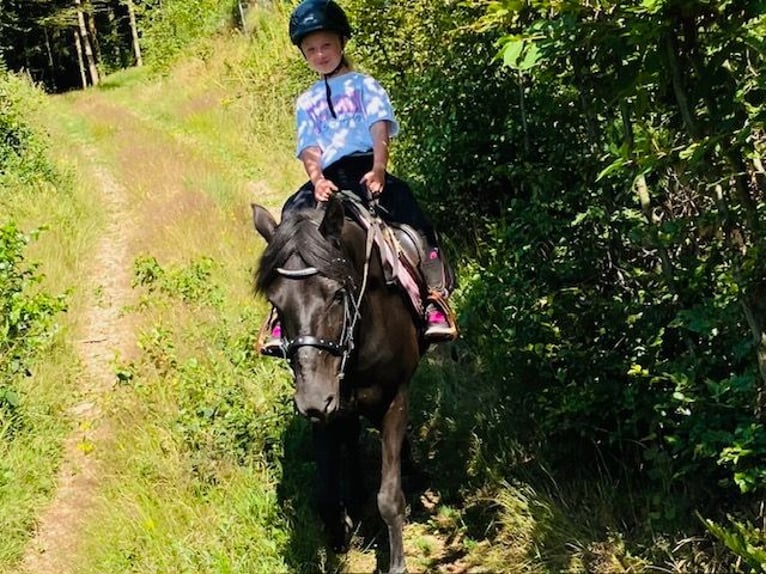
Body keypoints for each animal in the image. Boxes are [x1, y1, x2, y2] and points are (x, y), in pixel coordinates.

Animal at [252, 196, 424, 572]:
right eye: (275, 302)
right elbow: (326, 497)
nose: (314, 399)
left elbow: (389, 497)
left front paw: (397, 562)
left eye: (336, 295)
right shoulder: (327, 413)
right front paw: (340, 532)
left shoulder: (394, 401)